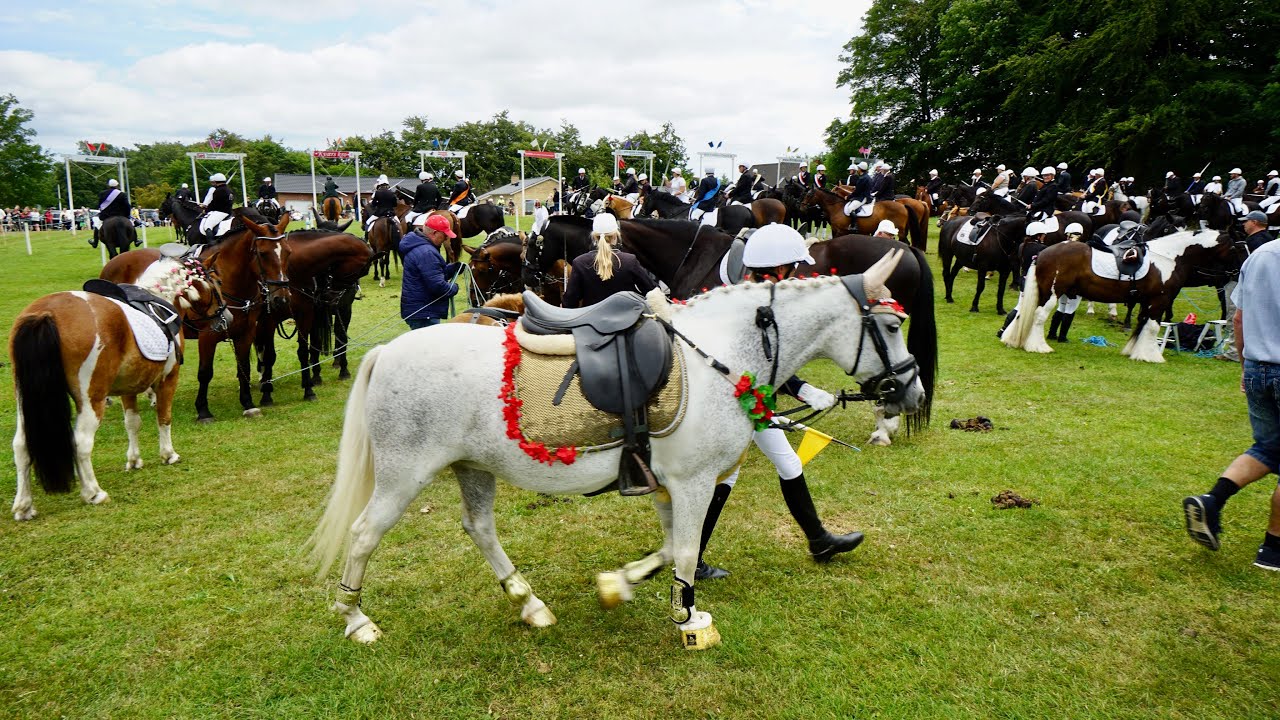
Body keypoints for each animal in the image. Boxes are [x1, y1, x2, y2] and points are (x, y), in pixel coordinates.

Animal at [10, 254, 212, 517]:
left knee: (21, 445)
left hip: (25, 402)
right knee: (81, 443)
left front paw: (134, 460)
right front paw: (168, 454)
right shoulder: (168, 379)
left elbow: (132, 423)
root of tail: (45, 314)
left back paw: (24, 505)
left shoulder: (128, 388)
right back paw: (93, 492)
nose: (226, 316)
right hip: (91, 399)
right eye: (213, 284)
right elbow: (164, 417)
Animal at [102, 207, 293, 420]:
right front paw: (203, 410)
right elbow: (205, 372)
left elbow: (244, 367)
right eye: (263, 253)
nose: (282, 299)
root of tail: (112, 262)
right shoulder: (208, 335)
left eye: (288, 252)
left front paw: (247, 402)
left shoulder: (246, 332)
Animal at [249, 229, 371, 404]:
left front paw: (341, 371)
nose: (331, 297)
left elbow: (335, 340)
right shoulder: (270, 320)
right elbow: (271, 354)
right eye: (362, 270)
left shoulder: (336, 311)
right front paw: (267, 393)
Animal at [308, 251, 921, 645]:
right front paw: (689, 621)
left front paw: (618, 586)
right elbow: (685, 552)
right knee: (364, 535)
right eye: (892, 327)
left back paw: (529, 602)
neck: (719, 353)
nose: (912, 393)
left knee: (479, 528)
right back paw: (355, 619)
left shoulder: (670, 485)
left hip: (472, 466)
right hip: (403, 476)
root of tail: (388, 351)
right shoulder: (693, 482)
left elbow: (671, 548)